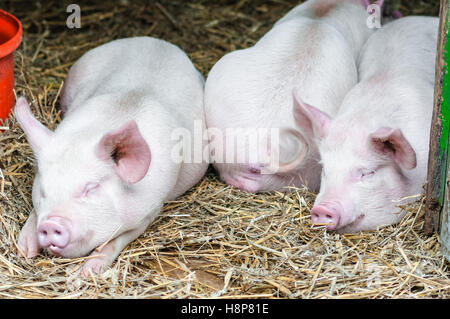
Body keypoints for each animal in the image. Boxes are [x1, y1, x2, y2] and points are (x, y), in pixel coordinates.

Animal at [14, 37, 208, 276]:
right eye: (43, 190)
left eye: (91, 187)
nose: (51, 224)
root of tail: (153, 39)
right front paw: (24, 250)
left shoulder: (150, 209)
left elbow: (114, 241)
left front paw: (86, 272)